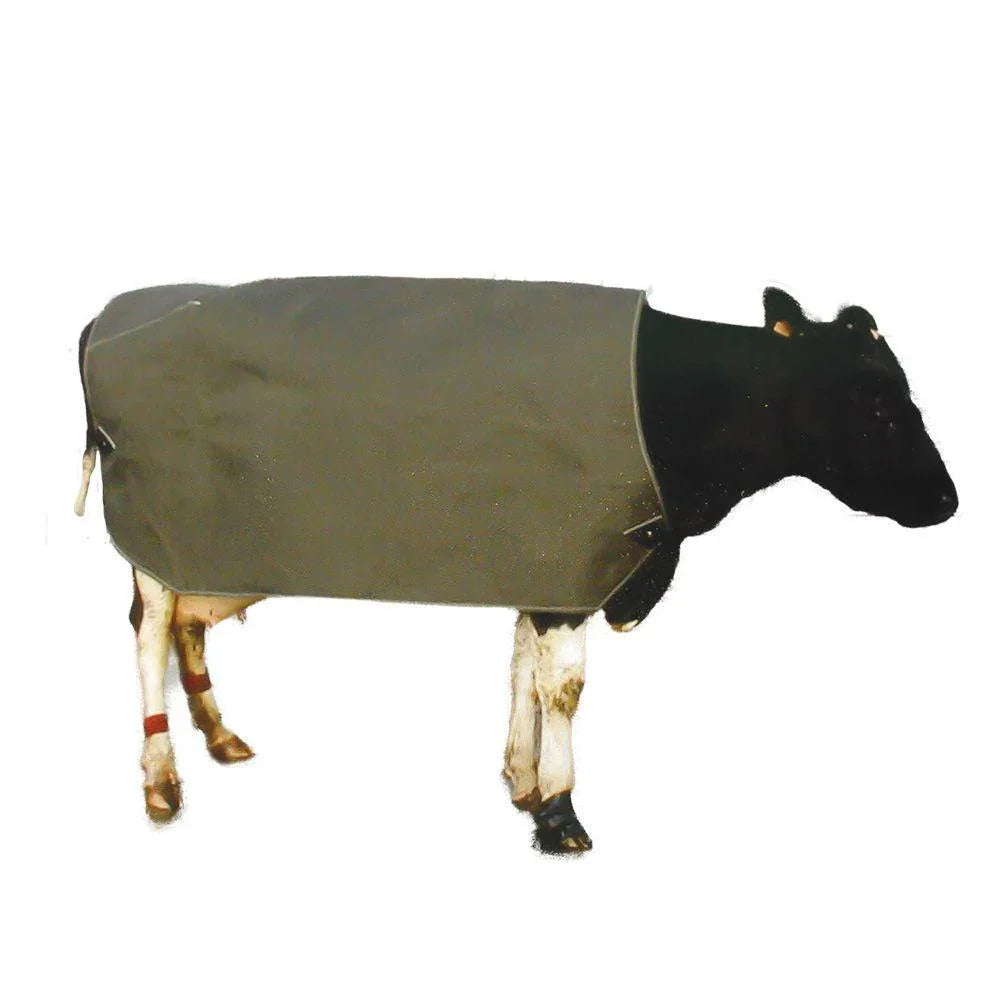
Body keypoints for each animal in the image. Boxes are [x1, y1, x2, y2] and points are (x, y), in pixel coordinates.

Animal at [75, 283, 957, 853]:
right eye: (876, 401)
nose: (948, 501)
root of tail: (112, 314)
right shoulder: (573, 551)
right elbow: (561, 684)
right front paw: (559, 810)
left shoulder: (551, 556)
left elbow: (524, 670)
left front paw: (522, 780)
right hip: (155, 524)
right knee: (151, 631)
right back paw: (161, 779)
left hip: (204, 541)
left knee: (188, 627)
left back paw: (220, 735)